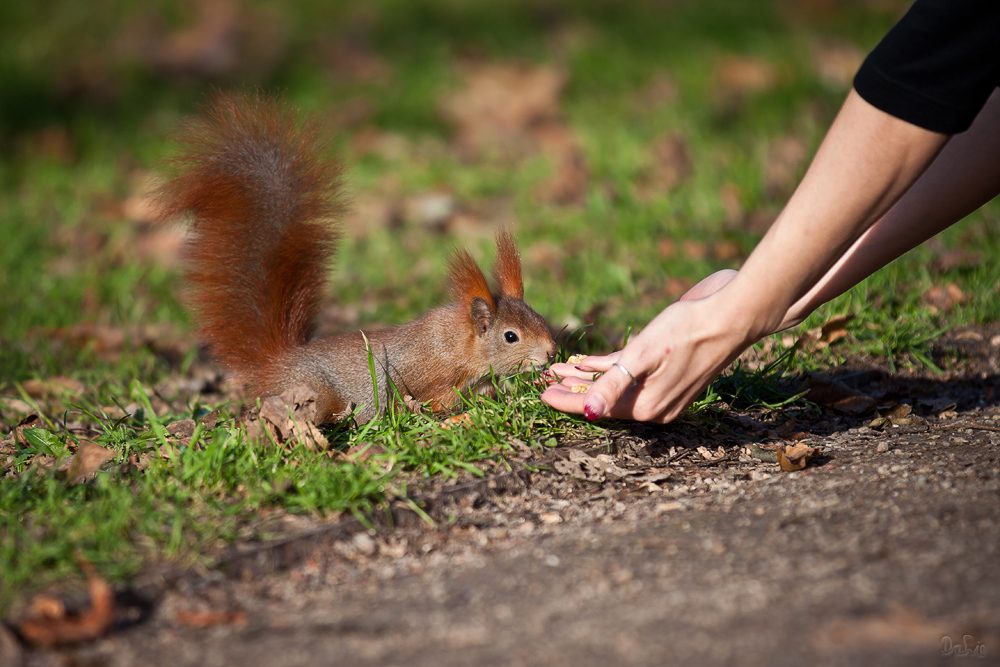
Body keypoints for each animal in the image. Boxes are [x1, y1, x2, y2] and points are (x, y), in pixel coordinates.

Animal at [160, 91, 560, 426]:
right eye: (511, 337)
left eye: (540, 318)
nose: (552, 353)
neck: (456, 342)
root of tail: (276, 364)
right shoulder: (428, 376)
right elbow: (434, 400)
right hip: (315, 392)